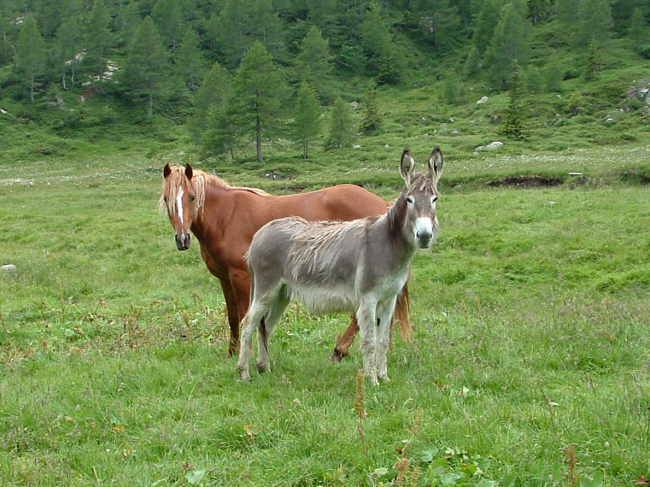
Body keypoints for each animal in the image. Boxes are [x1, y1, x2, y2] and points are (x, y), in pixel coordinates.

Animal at [160, 163, 412, 358]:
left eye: (192, 197)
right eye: (166, 199)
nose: (182, 239)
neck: (226, 217)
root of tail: (382, 205)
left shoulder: (241, 277)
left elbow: (244, 316)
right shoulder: (224, 278)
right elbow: (232, 317)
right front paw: (231, 353)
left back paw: (341, 349)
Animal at [238, 148, 443, 384]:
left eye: (435, 199)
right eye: (409, 200)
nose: (424, 236)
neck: (389, 244)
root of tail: (260, 233)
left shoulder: (389, 299)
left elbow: (383, 341)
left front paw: (385, 378)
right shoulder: (368, 299)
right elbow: (370, 342)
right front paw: (372, 381)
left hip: (281, 293)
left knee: (266, 325)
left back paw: (264, 367)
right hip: (266, 289)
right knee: (248, 323)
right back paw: (244, 372)